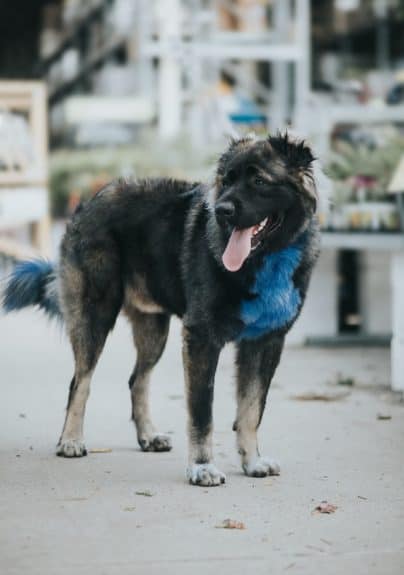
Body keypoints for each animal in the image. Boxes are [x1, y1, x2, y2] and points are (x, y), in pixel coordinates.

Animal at [2, 134, 318, 486]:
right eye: (227, 181)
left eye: (259, 181)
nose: (221, 211)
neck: (264, 259)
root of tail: (91, 199)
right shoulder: (202, 340)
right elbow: (202, 413)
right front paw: (202, 467)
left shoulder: (264, 343)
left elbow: (252, 409)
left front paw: (252, 462)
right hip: (95, 317)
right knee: (79, 382)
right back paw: (71, 440)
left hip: (154, 332)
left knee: (136, 380)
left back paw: (148, 436)